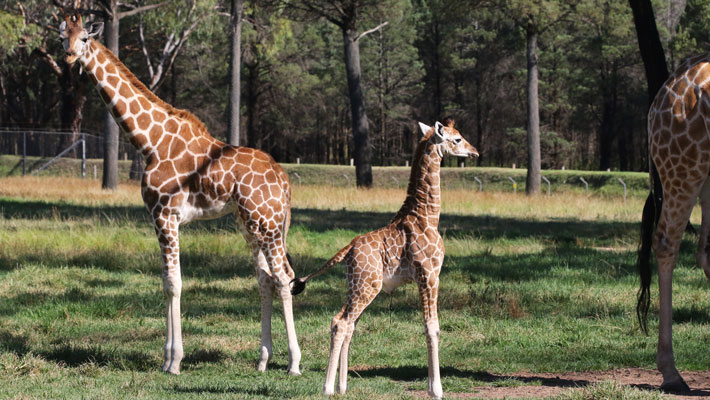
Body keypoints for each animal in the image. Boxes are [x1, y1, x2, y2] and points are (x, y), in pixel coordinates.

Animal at [57, 10, 298, 378]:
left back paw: (294, 363)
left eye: (84, 37)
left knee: (284, 278)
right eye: (61, 37)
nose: (69, 56)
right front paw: (168, 357)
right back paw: (262, 360)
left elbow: (174, 283)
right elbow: (166, 283)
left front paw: (173, 360)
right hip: (250, 225)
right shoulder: (159, 218)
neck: (149, 142)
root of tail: (283, 179)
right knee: (265, 280)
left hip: (268, 223)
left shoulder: (164, 215)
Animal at [292, 117, 482, 398]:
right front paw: (436, 389)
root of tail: (347, 248)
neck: (428, 216)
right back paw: (327, 388)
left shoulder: (426, 277)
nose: (475, 152)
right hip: (367, 285)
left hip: (358, 284)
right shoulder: (429, 274)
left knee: (348, 324)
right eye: (457, 139)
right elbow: (432, 326)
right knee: (341, 322)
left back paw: (342, 386)